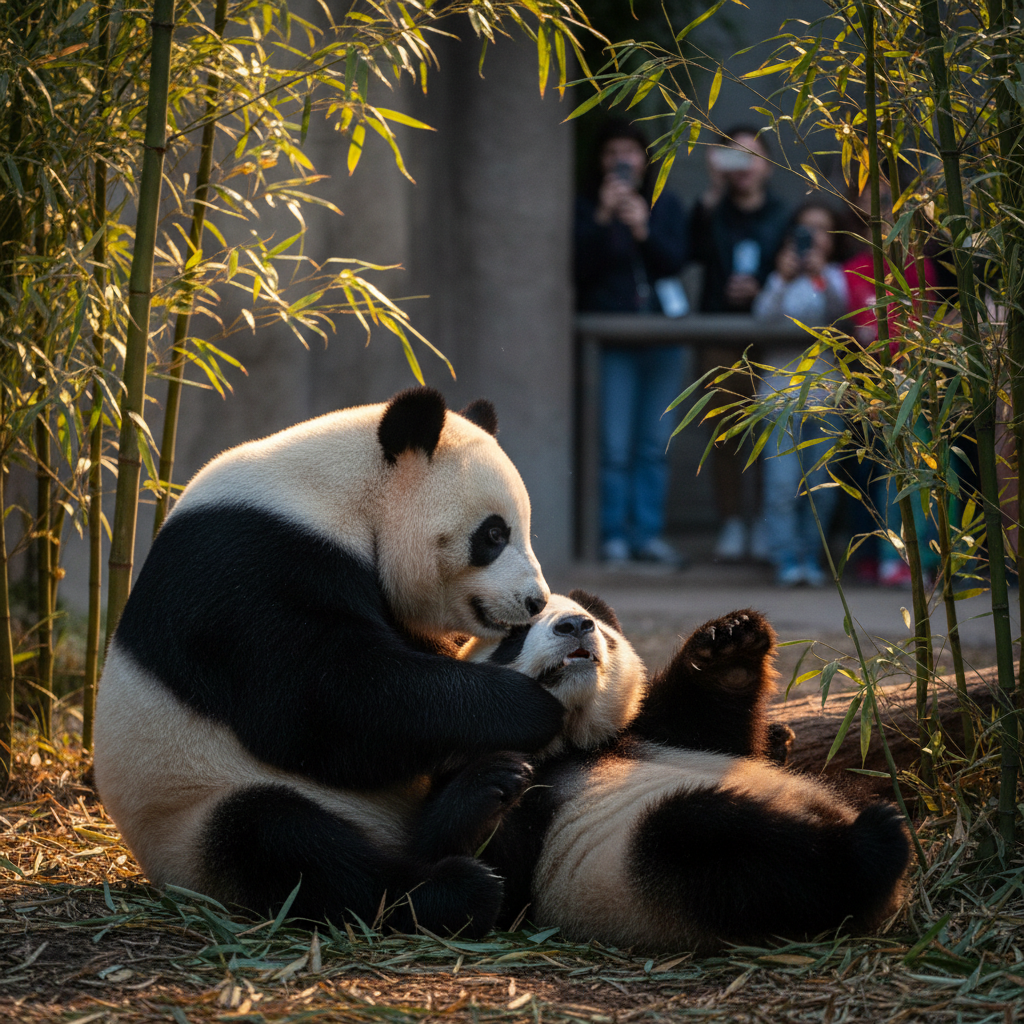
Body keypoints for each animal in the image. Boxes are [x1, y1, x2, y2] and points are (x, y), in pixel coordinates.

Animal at [93, 387, 565, 938]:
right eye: (492, 535)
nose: (535, 600)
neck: (340, 497)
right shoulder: (248, 565)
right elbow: (325, 701)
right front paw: (531, 707)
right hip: (190, 816)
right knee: (286, 843)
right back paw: (455, 889)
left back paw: (483, 798)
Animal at [451, 592, 911, 952]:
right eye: (514, 636)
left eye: (598, 626)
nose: (576, 625)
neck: (575, 743)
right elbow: (505, 881)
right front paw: (489, 787)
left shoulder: (653, 729)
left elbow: (713, 722)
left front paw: (732, 644)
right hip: (646, 866)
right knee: (734, 850)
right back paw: (873, 841)